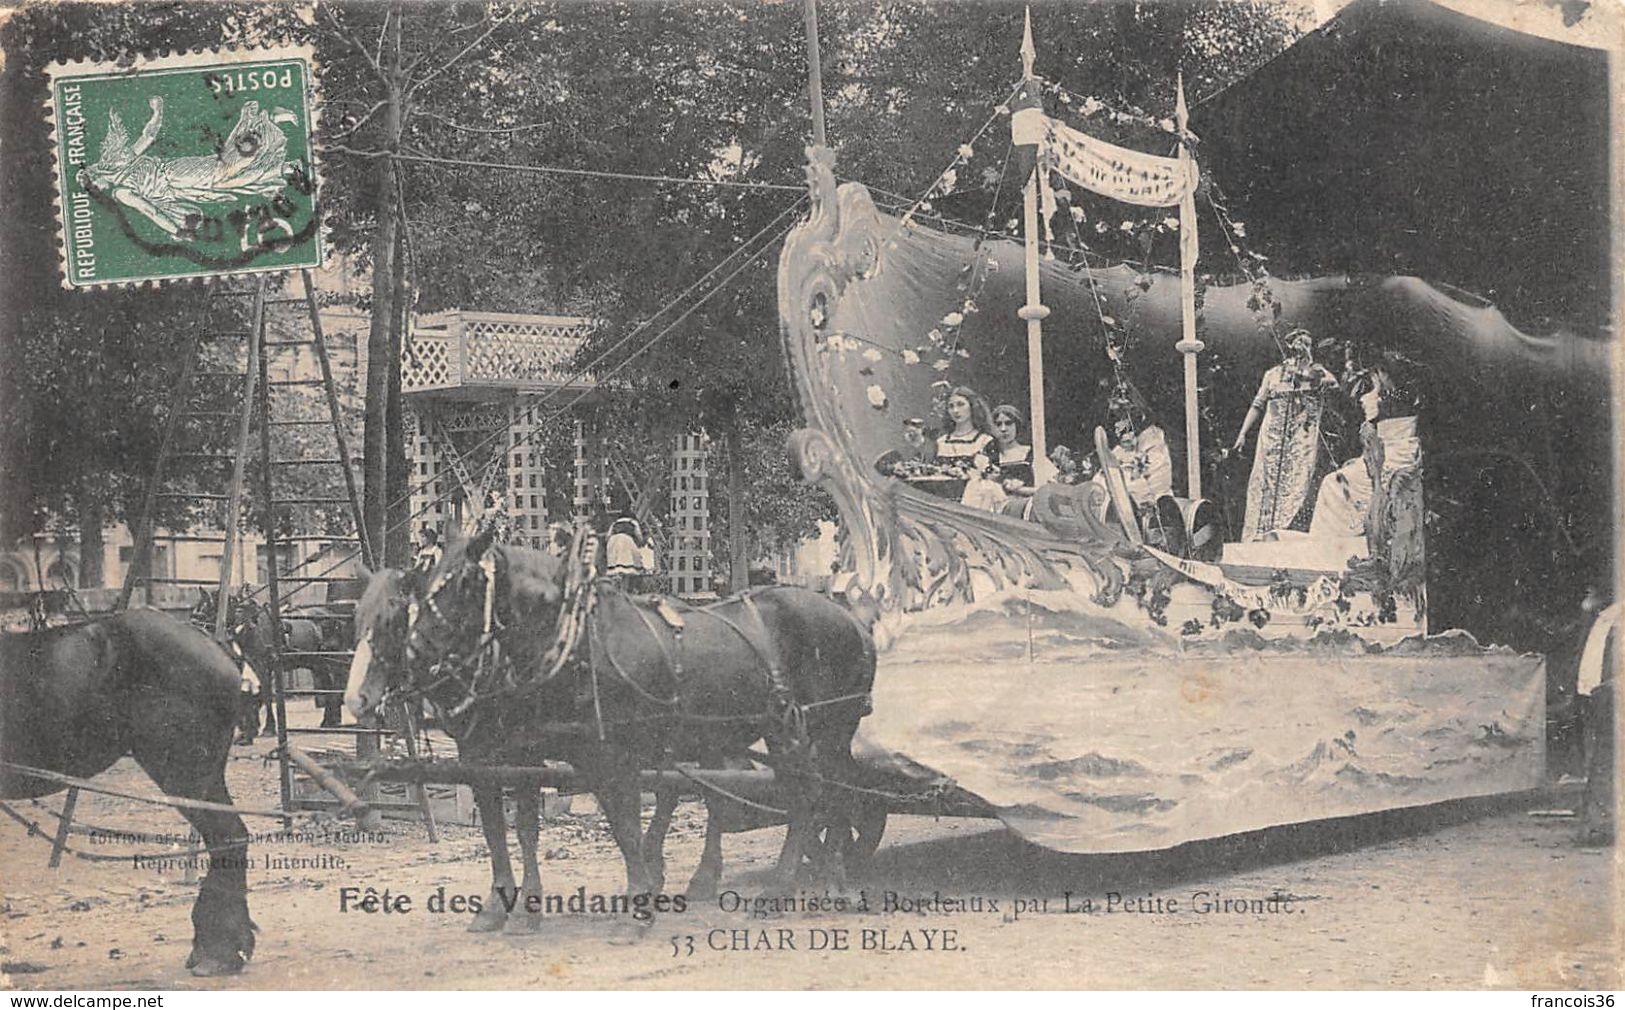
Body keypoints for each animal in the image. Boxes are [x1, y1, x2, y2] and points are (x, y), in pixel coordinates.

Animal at [346, 535, 877, 935]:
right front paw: (507, 907)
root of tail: (854, 622)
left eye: (460, 583)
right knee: (812, 795)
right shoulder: (504, 754)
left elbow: (618, 824)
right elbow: (511, 829)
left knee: (813, 796)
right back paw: (829, 877)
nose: (357, 698)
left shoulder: (599, 752)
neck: (573, 645)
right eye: (359, 616)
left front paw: (634, 908)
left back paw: (788, 886)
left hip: (813, 729)